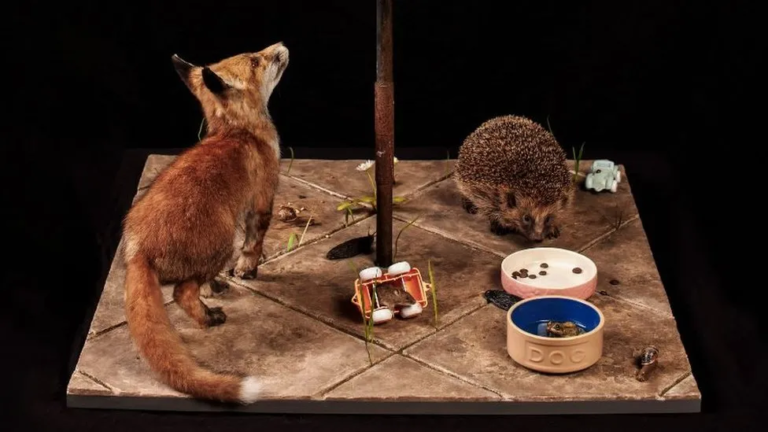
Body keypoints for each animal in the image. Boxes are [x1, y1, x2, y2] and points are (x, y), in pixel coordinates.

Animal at [121, 42, 290, 404]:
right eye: (255, 59)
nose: (282, 45)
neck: (237, 131)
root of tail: (137, 247)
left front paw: (217, 286)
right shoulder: (261, 201)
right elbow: (254, 245)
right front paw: (247, 271)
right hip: (223, 241)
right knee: (182, 293)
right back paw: (209, 318)